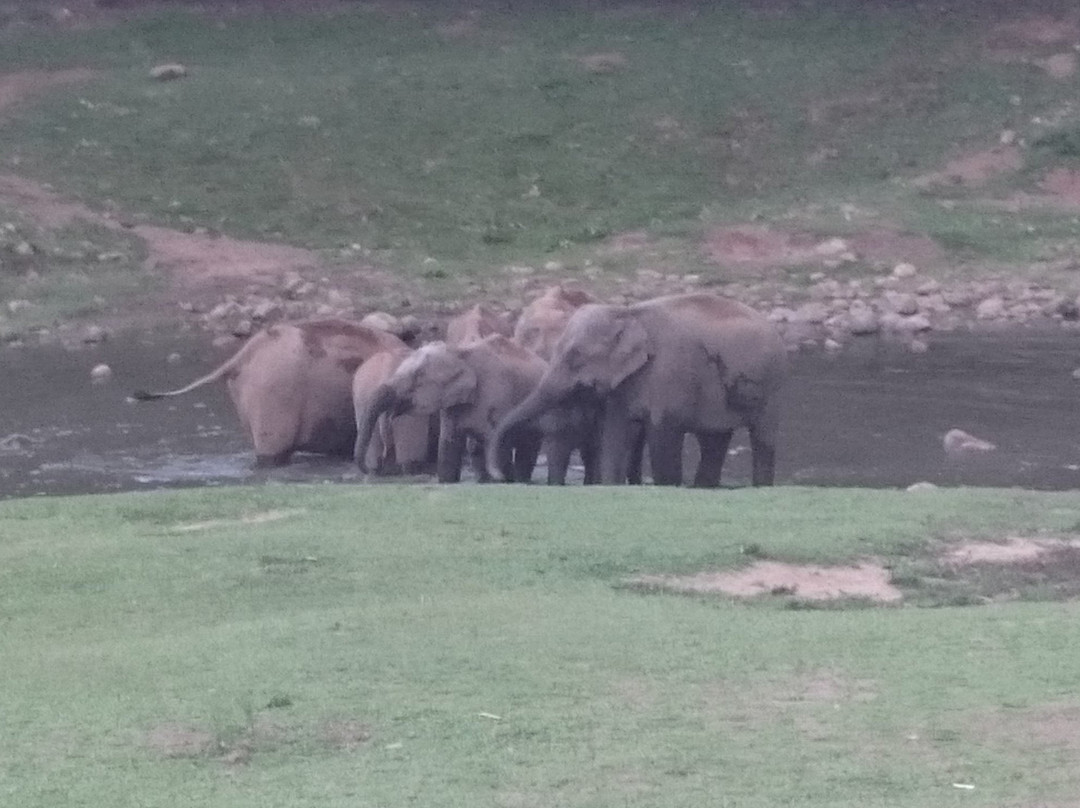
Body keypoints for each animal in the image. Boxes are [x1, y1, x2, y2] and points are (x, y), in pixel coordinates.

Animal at [490, 295, 786, 488]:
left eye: (576, 358)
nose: (501, 476)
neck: (626, 313)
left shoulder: (670, 369)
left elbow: (663, 431)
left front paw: (667, 485)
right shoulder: (623, 383)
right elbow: (614, 432)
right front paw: (610, 485)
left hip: (771, 384)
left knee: (762, 437)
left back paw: (759, 485)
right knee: (713, 440)